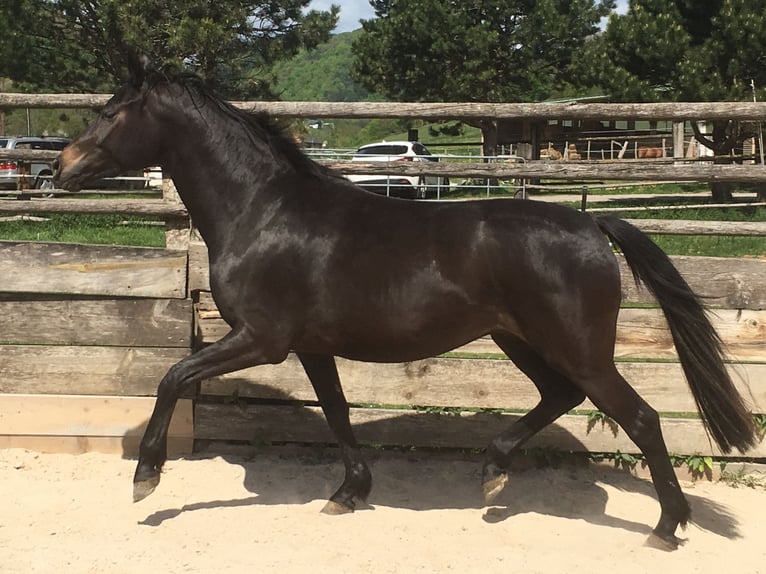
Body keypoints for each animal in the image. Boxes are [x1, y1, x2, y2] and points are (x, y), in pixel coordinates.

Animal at [51, 55, 760, 552]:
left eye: (112, 113)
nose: (62, 167)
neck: (264, 211)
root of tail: (592, 224)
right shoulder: (310, 347)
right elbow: (337, 414)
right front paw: (348, 493)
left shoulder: (261, 339)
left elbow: (173, 376)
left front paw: (146, 476)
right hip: (518, 338)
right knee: (560, 396)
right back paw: (493, 471)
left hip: (577, 348)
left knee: (640, 418)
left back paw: (666, 527)